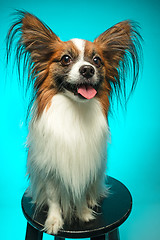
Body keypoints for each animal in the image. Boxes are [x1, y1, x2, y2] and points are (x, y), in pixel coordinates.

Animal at [6, 10, 142, 234]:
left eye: (96, 60)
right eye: (65, 59)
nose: (87, 70)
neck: (75, 111)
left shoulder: (85, 166)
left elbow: (80, 193)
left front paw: (84, 213)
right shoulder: (51, 169)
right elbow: (53, 197)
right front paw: (54, 221)